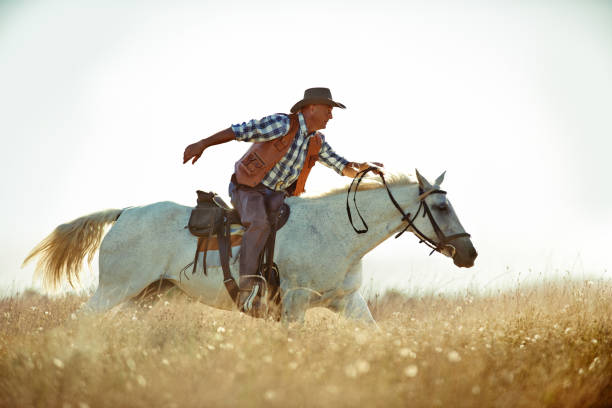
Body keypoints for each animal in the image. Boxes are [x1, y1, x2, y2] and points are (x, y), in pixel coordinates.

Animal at [23, 171, 476, 324]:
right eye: (441, 206)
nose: (469, 254)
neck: (337, 231)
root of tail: (124, 213)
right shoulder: (293, 302)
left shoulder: (347, 301)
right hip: (115, 290)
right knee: (79, 321)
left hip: (144, 297)